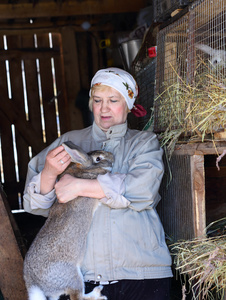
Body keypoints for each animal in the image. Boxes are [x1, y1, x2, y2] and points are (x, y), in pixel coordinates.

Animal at [23, 142, 114, 300]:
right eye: (98, 158)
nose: (113, 156)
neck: (84, 169)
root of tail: (34, 284)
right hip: (73, 277)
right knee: (78, 297)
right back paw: (98, 294)